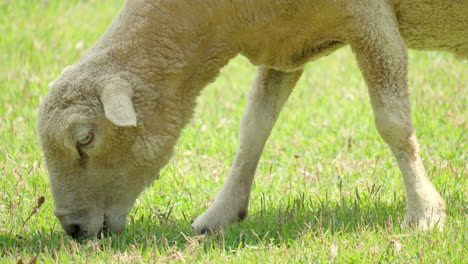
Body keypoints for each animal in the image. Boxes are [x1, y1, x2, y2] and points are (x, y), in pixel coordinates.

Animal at [38, 0, 466, 239]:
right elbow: (253, 130)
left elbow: (393, 124)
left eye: (84, 139)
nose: (73, 230)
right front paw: (221, 214)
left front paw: (424, 213)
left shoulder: (370, 20)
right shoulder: (286, 43)